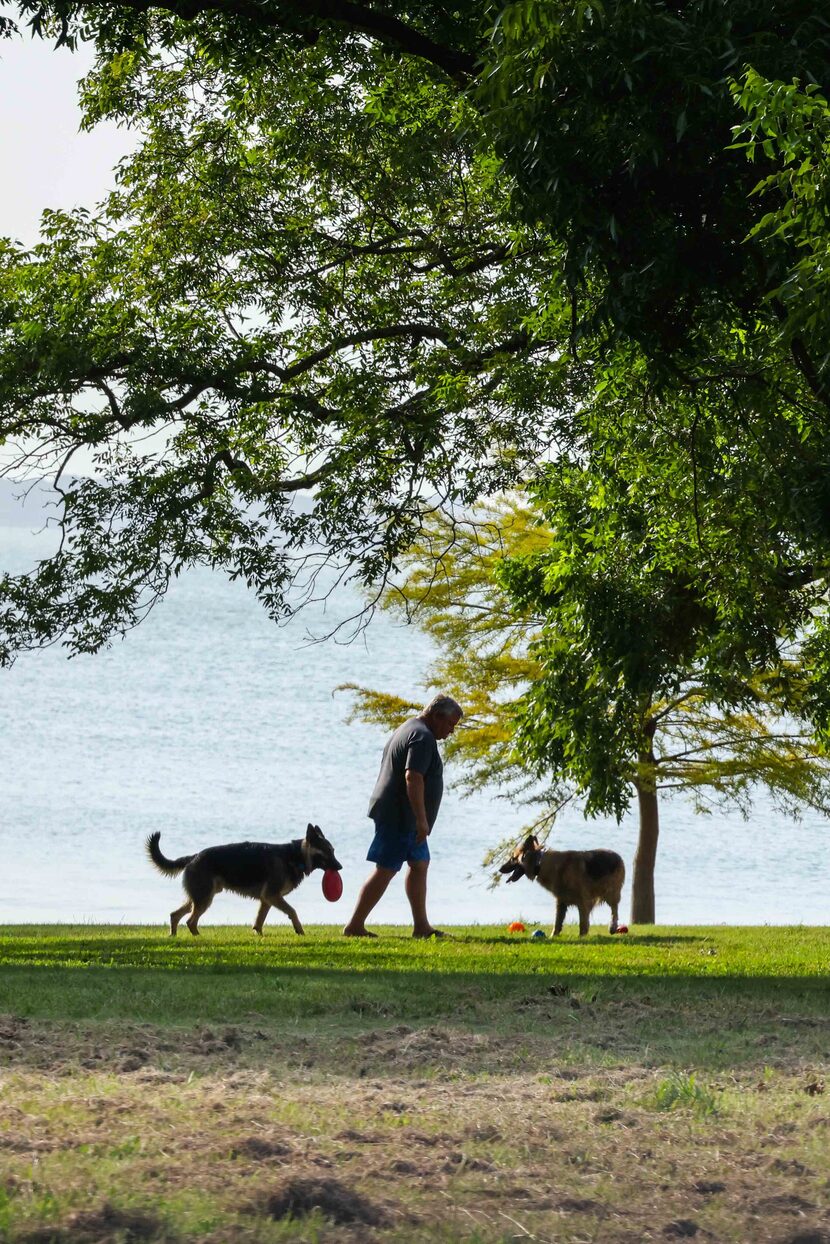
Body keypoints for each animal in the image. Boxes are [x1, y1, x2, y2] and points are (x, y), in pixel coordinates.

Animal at [146, 826, 340, 935]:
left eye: (333, 851)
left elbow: (259, 920)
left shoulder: (267, 899)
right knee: (190, 921)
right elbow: (292, 911)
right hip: (204, 899)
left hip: (199, 898)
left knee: (175, 915)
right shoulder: (273, 896)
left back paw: (173, 936)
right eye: (328, 851)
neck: (295, 856)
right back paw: (198, 938)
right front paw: (299, 930)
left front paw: (259, 936)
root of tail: (194, 856)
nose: (340, 867)